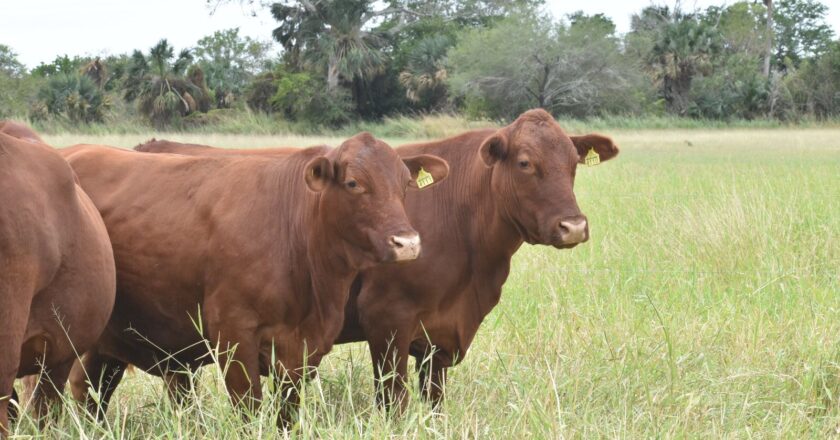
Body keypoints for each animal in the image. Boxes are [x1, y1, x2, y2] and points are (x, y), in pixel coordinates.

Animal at [61, 131, 450, 422]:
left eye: (406, 185)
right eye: (354, 183)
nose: (407, 243)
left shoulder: (300, 351)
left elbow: (287, 415)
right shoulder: (233, 336)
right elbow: (249, 410)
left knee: (91, 390)